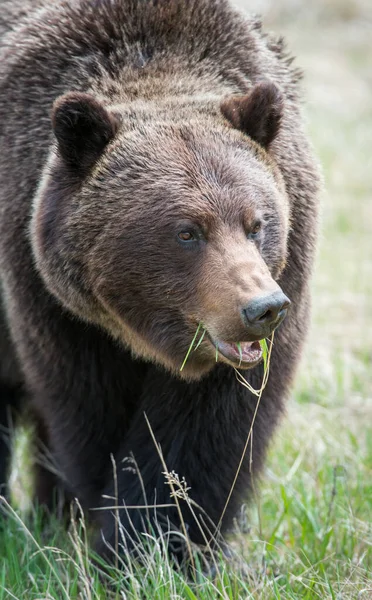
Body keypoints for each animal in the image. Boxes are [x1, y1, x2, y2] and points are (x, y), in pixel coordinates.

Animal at [0, 0, 320, 564]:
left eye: (257, 223)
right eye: (187, 231)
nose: (262, 307)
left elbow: (204, 434)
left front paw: (165, 543)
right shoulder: (52, 304)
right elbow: (90, 417)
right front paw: (125, 543)